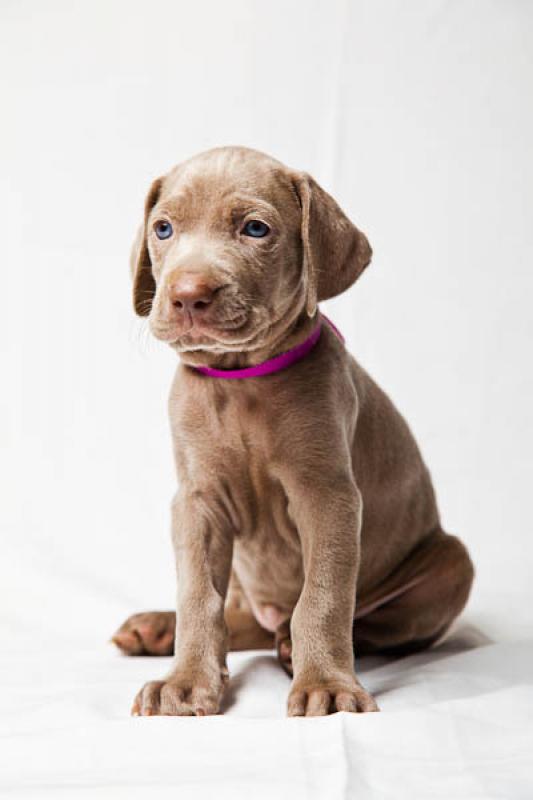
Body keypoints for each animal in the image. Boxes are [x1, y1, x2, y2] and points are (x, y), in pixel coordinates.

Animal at [113, 147, 474, 716]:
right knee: (243, 618)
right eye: (164, 228)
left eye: (255, 229)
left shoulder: (327, 496)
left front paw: (327, 683)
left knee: (349, 622)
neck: (240, 379)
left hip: (452, 564)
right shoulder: (197, 501)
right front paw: (185, 679)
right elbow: (198, 595)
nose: (188, 295)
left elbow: (322, 598)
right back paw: (158, 628)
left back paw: (288, 648)